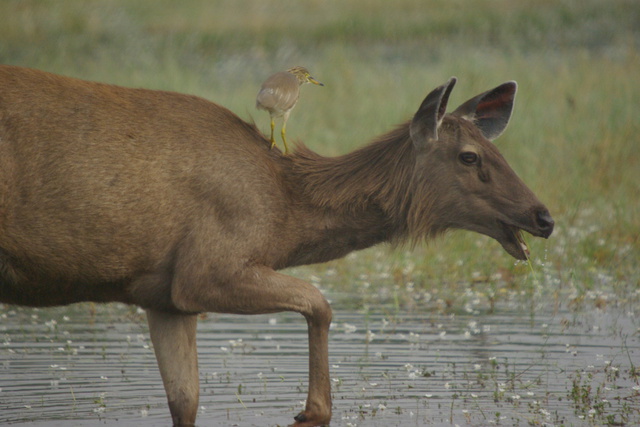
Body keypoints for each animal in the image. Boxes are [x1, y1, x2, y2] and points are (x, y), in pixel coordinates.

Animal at [0, 65, 552, 426]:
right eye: (469, 156)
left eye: (497, 150)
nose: (542, 217)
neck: (284, 214)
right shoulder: (206, 269)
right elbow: (320, 302)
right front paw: (310, 410)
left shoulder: (164, 296)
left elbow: (186, 402)